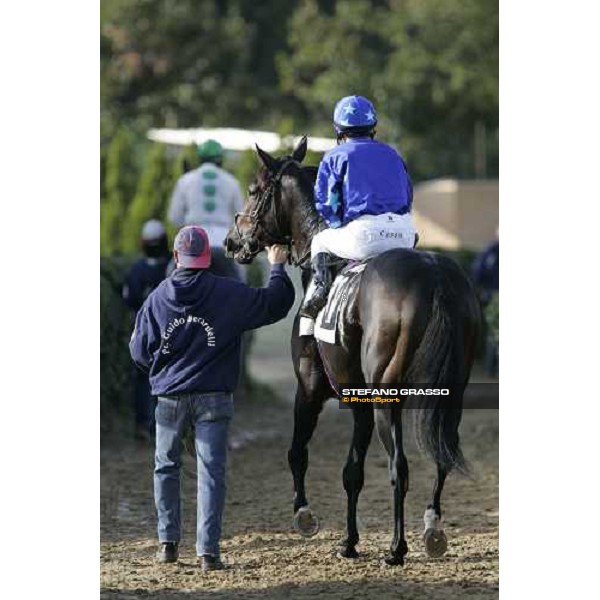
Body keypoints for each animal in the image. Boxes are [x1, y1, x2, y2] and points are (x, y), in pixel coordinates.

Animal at [223, 137, 480, 568]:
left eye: (254, 190)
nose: (231, 241)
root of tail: (434, 274)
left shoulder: (309, 389)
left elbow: (297, 452)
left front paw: (305, 517)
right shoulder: (357, 401)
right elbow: (352, 472)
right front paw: (349, 541)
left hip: (386, 397)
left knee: (399, 466)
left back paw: (396, 548)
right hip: (450, 394)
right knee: (441, 455)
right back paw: (431, 530)